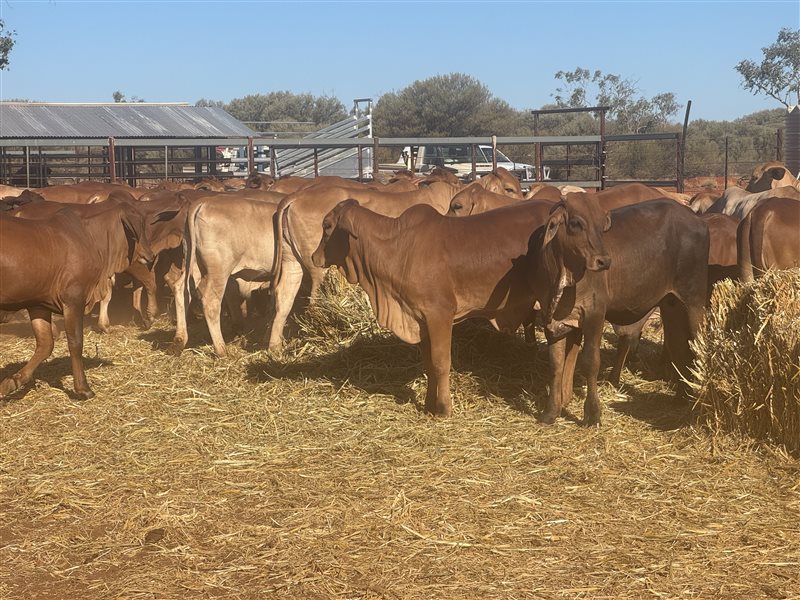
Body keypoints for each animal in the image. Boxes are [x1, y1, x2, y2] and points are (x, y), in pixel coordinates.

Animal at [312, 199, 556, 414]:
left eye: (327, 225)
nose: (314, 257)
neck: (397, 249)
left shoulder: (440, 314)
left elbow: (441, 363)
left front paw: (444, 409)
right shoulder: (419, 318)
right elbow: (428, 365)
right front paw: (429, 405)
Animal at [532, 199, 708, 424]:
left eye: (601, 226)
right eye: (575, 223)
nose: (604, 261)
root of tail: (697, 219)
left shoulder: (595, 314)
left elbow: (590, 361)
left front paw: (592, 413)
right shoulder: (552, 321)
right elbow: (556, 365)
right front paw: (550, 412)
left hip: (694, 302)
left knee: (699, 347)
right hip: (672, 306)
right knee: (680, 350)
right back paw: (680, 397)